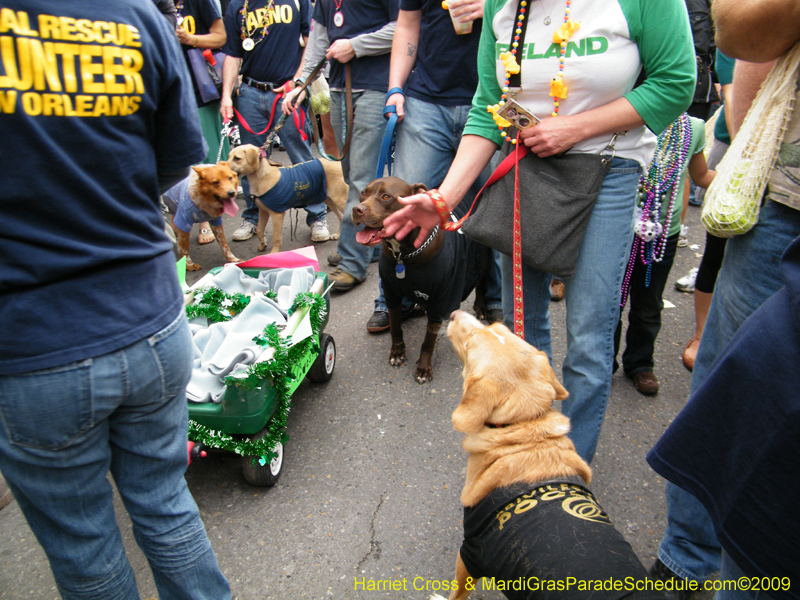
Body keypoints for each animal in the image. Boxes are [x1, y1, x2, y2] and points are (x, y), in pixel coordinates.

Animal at [438, 312, 664, 596]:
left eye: (470, 343)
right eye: (496, 326)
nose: (454, 313)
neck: (525, 428)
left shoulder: (471, 553)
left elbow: (457, 592)